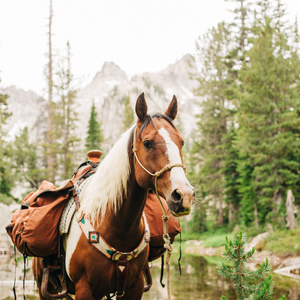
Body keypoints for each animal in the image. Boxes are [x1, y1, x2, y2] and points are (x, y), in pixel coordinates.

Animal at [32, 92, 195, 298]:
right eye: (147, 143)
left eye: (181, 142)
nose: (184, 195)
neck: (117, 226)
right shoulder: (85, 289)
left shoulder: (135, 286)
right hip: (43, 289)